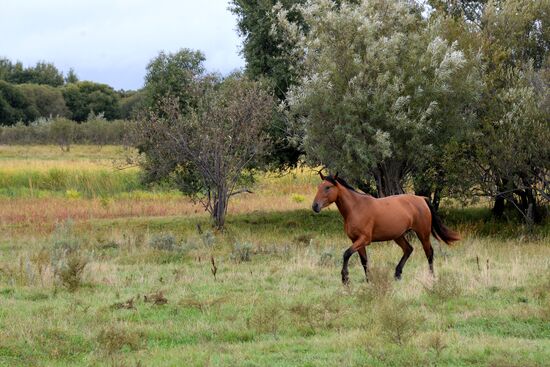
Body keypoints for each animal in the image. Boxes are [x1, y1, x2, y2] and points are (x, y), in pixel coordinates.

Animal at [312, 173, 464, 284]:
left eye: (328, 187)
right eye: (319, 187)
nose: (315, 206)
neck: (356, 208)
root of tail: (422, 199)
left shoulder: (364, 239)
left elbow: (346, 254)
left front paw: (345, 278)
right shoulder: (356, 240)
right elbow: (364, 261)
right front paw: (369, 280)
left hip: (423, 233)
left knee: (429, 253)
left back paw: (431, 276)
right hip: (398, 236)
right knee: (408, 249)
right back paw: (397, 274)